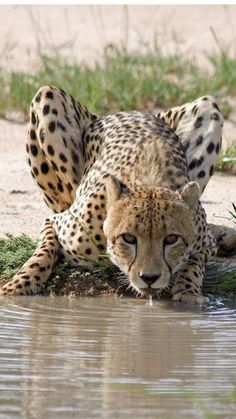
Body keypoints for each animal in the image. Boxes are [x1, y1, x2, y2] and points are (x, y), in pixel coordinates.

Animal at [0, 86, 234, 302]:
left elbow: (194, 263)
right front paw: (19, 284)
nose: (149, 277)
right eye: (129, 238)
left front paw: (188, 291)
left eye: (171, 239)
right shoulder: (58, 221)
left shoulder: (204, 241)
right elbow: (43, 251)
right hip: (48, 96)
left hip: (207, 107)